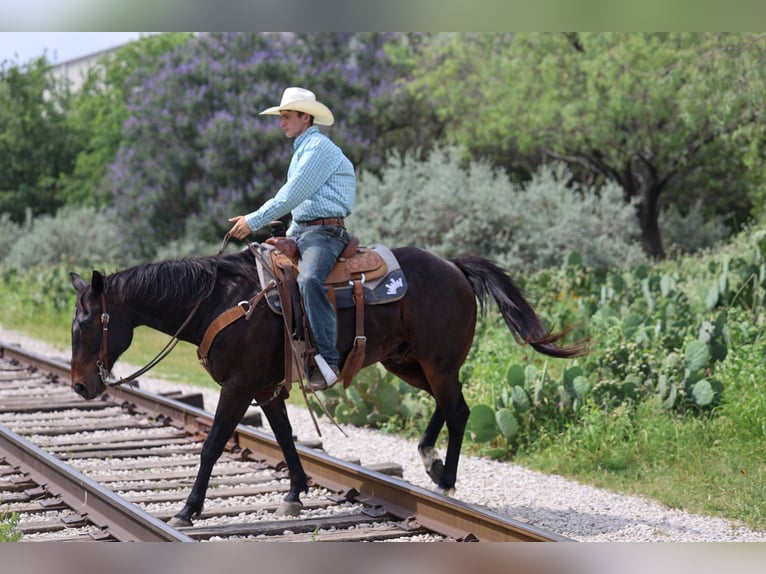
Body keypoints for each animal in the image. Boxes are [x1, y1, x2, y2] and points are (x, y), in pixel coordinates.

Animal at [69, 245, 587, 526]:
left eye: (88, 324)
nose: (80, 387)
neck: (220, 301)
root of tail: (455, 267)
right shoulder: (264, 387)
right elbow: (283, 436)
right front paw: (296, 492)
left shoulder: (238, 386)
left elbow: (214, 445)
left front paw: (188, 509)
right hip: (408, 363)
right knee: (450, 405)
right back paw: (431, 461)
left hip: (435, 362)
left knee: (458, 410)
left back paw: (446, 481)